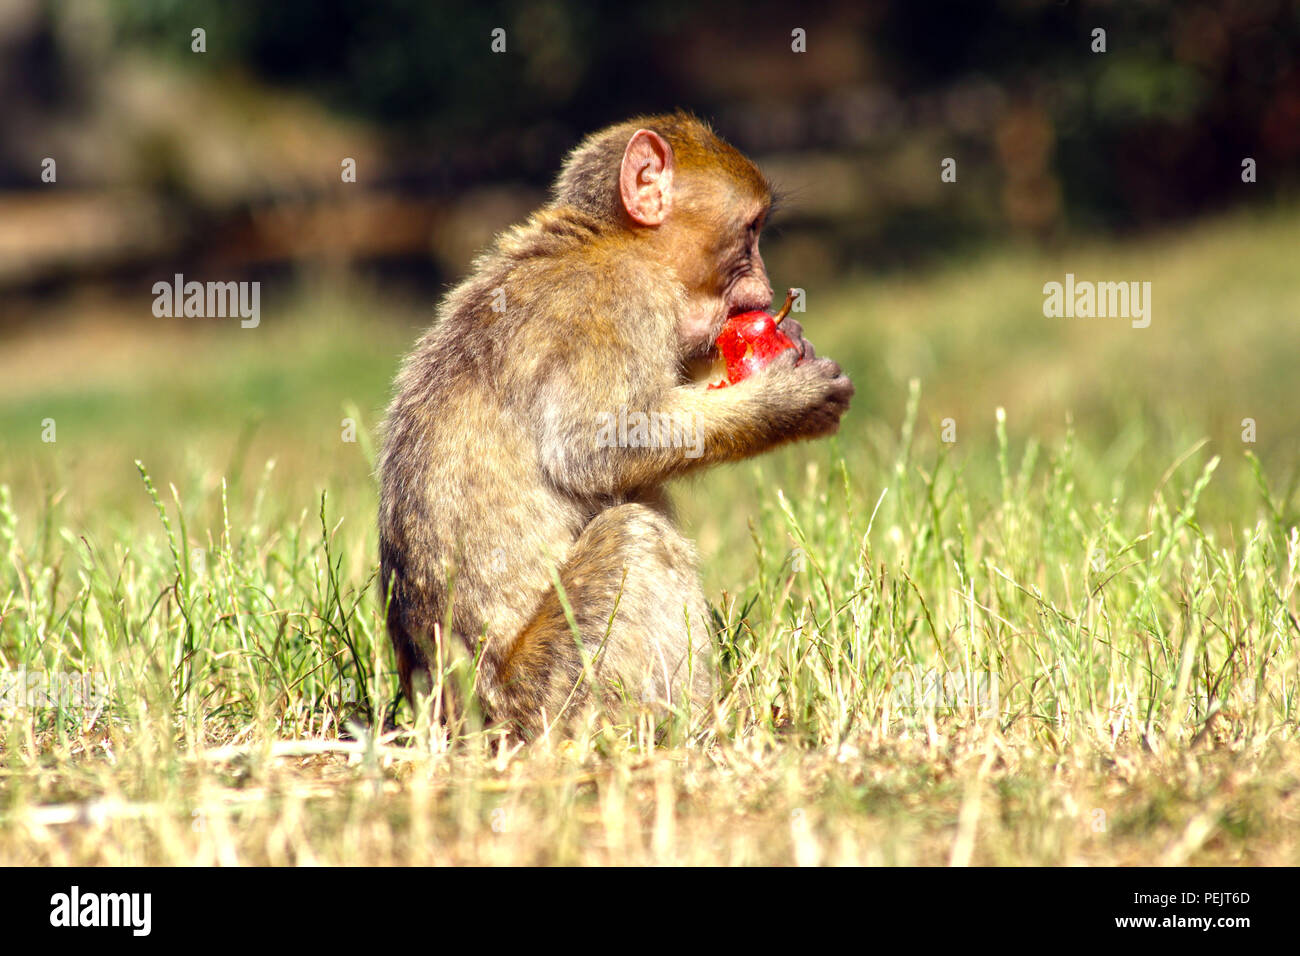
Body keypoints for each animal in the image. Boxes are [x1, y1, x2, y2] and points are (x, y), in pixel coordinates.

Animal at [378, 112, 853, 739]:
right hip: (556, 698)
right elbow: (593, 449)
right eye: (749, 232)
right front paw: (787, 403)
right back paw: (700, 725)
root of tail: (455, 717)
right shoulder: (623, 299)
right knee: (635, 534)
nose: (770, 292)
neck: (615, 240)